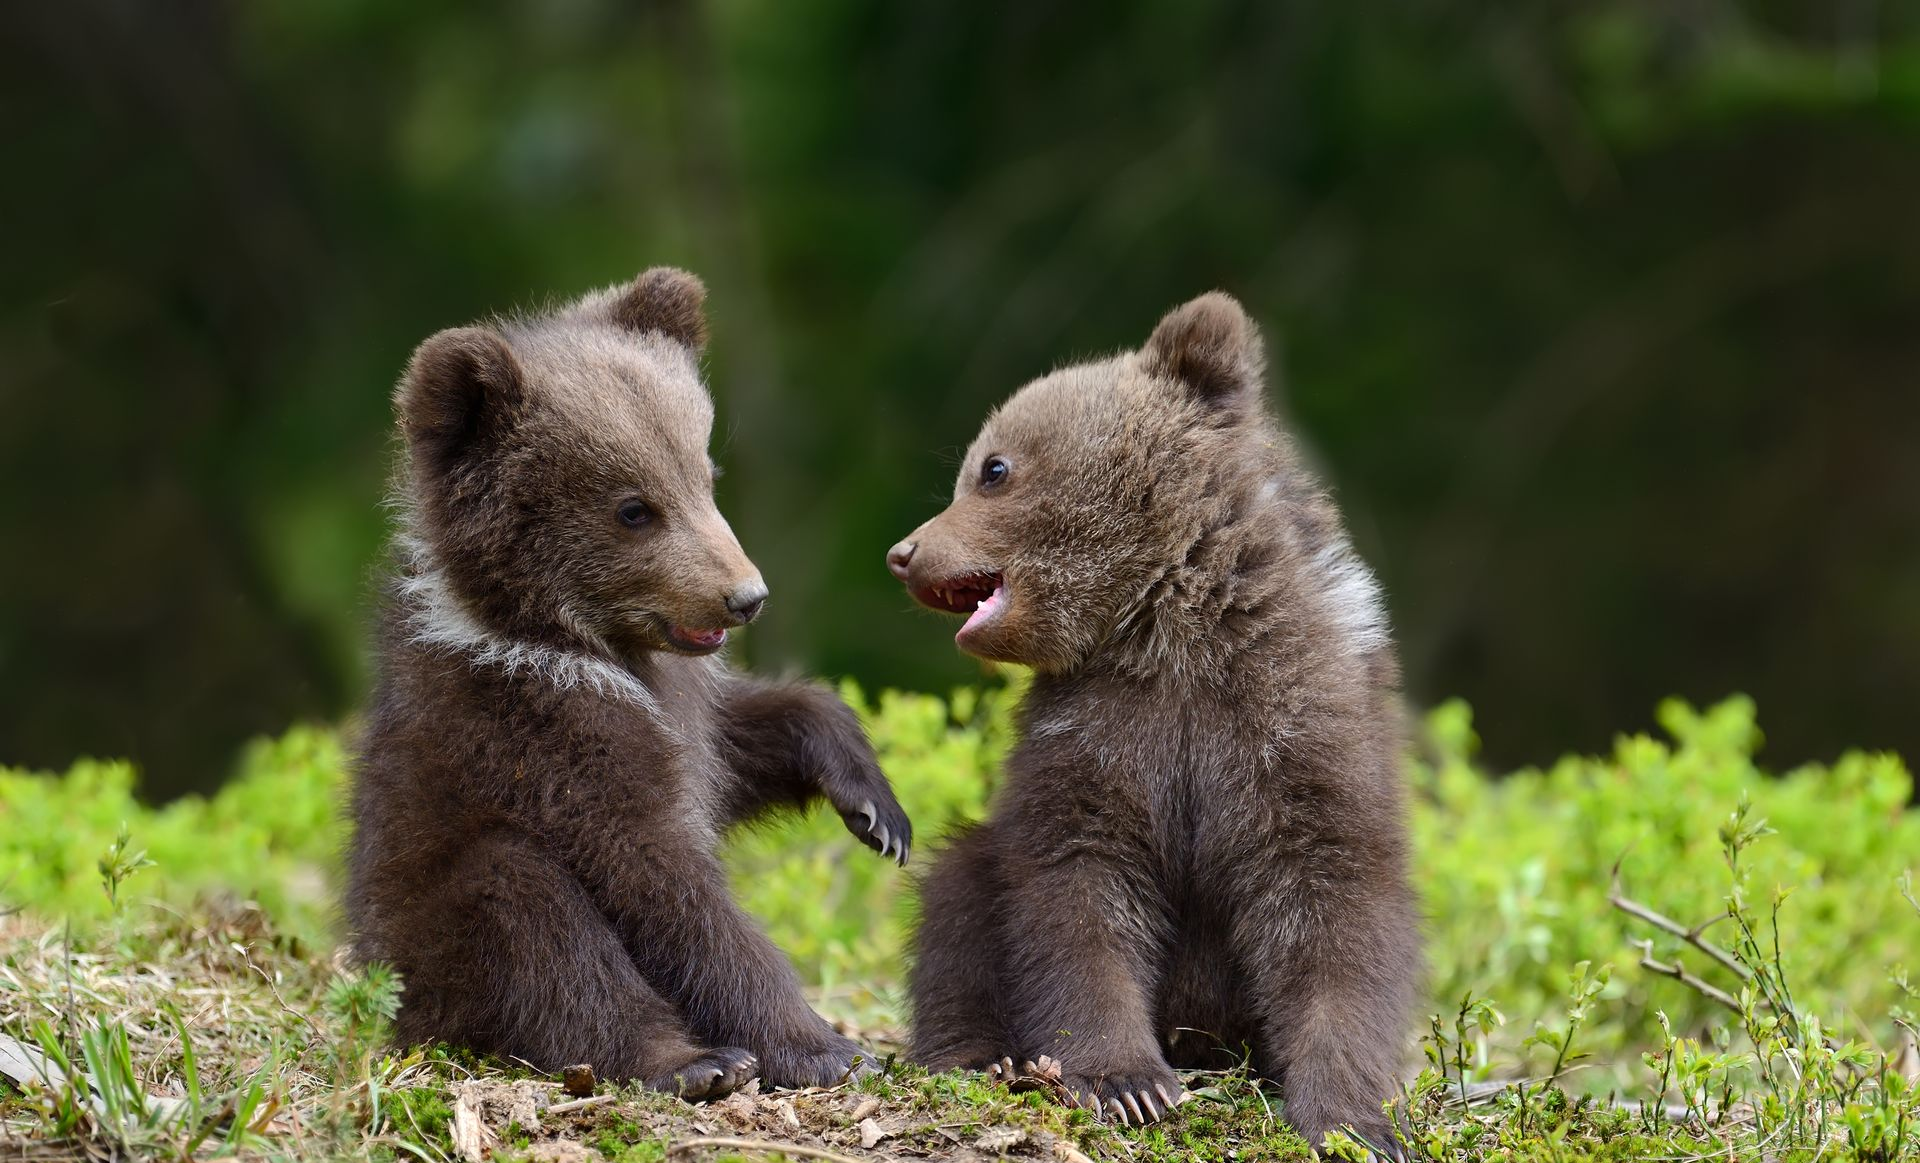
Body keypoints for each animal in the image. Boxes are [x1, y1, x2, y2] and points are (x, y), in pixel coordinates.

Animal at [347, 268, 912, 1099]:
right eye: (633, 507)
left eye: (705, 474)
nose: (744, 596)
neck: (565, 640)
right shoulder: (546, 735)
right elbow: (662, 882)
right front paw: (824, 1045)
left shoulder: (680, 705)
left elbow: (745, 740)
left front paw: (876, 808)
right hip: (431, 938)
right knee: (534, 923)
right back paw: (693, 1060)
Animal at [887, 292, 1418, 1153]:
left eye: (992, 468)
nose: (904, 552)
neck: (1167, 626)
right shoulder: (1096, 732)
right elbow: (1078, 890)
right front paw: (1127, 1082)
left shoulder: (1292, 723)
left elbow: (1331, 904)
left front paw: (1352, 1116)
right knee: (958, 894)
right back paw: (978, 1054)